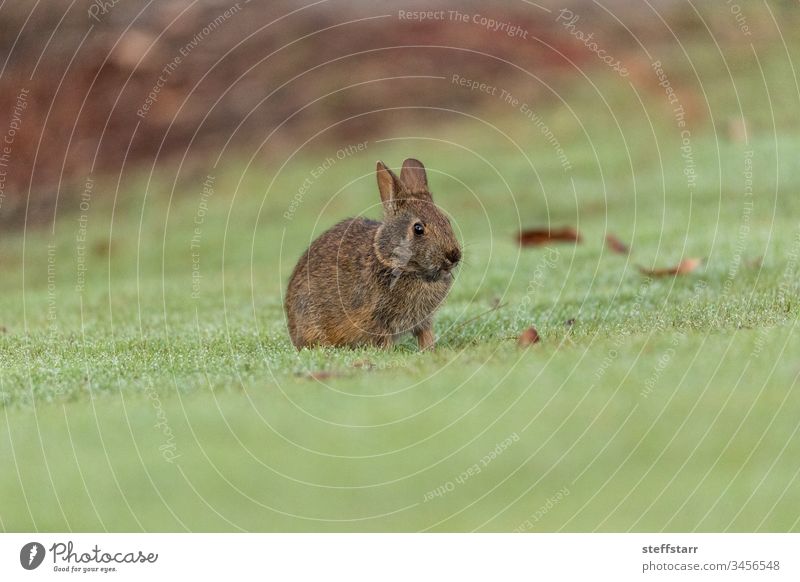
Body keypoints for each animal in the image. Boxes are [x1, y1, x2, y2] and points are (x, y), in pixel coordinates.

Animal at [286, 159, 462, 352]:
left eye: (446, 220)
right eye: (418, 229)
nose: (454, 255)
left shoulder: (424, 320)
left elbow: (426, 335)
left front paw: (430, 351)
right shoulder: (375, 319)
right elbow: (382, 339)